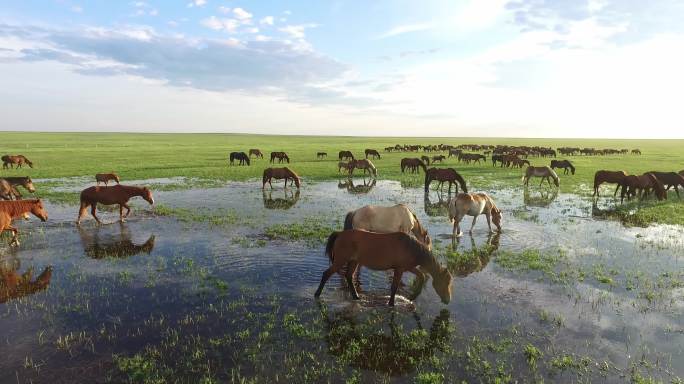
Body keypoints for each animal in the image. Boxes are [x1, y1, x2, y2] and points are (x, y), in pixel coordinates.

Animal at [316, 230, 454, 308]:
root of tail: (340, 234)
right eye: (445, 282)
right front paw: (391, 304)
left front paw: (412, 297)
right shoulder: (399, 269)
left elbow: (422, 276)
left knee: (349, 276)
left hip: (354, 261)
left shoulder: (408, 267)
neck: (410, 247)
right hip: (340, 261)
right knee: (326, 274)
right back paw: (317, 294)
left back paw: (356, 296)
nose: (448, 300)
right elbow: (394, 287)